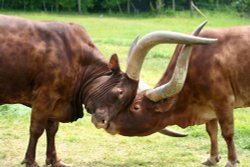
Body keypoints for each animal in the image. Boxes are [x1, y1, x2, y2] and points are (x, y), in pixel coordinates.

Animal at [0, 14, 216, 167]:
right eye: (120, 92)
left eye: (131, 104)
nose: (102, 122)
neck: (77, 60)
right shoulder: (44, 98)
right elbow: (36, 129)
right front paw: (30, 161)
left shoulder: (56, 101)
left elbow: (52, 129)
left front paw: (55, 160)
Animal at [94, 22, 250, 166]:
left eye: (136, 107)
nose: (106, 123)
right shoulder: (209, 108)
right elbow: (212, 131)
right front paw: (212, 158)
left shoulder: (223, 103)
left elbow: (227, 133)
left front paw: (232, 161)